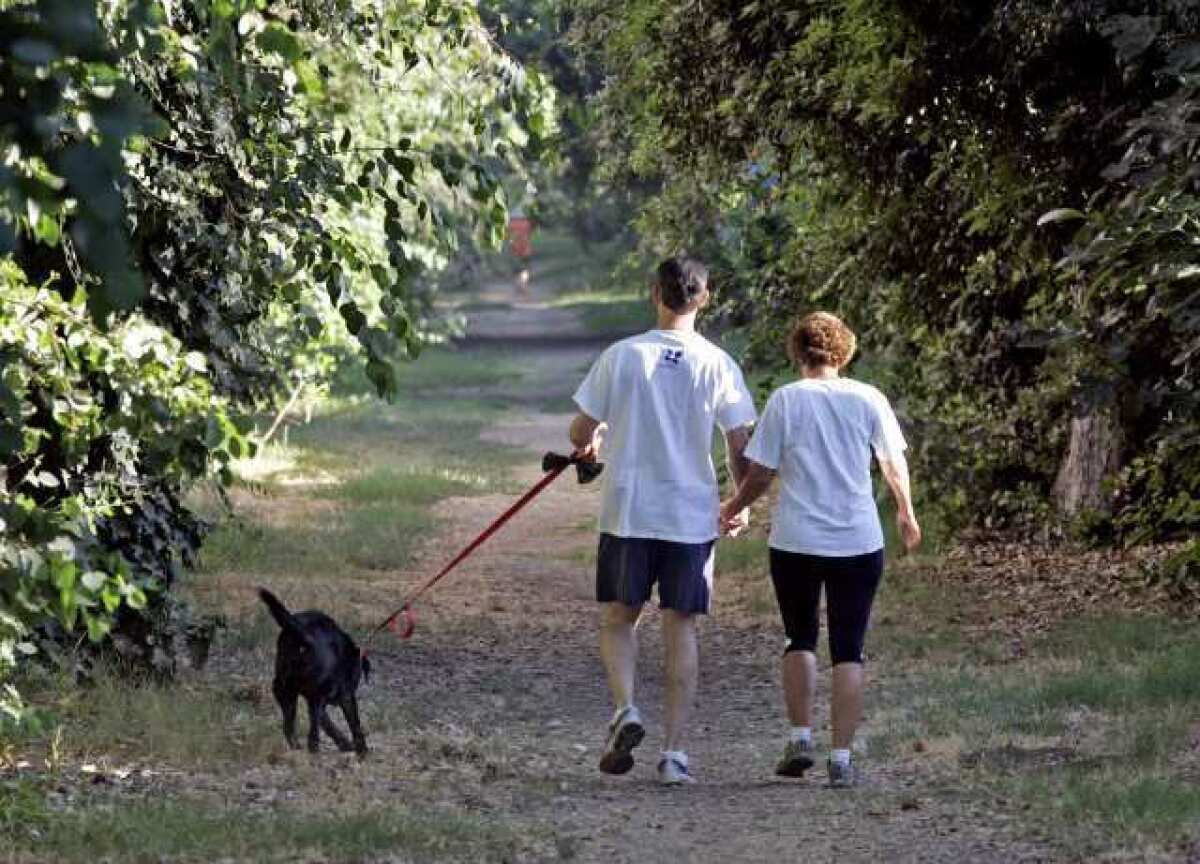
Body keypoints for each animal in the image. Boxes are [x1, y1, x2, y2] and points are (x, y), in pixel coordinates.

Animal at [261, 588, 369, 758]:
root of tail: (304, 635)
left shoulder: (316, 700)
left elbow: (328, 724)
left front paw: (344, 743)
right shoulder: (345, 696)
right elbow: (354, 724)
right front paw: (361, 748)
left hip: (285, 688)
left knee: (289, 723)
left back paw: (296, 744)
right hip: (312, 695)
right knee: (312, 732)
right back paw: (314, 749)